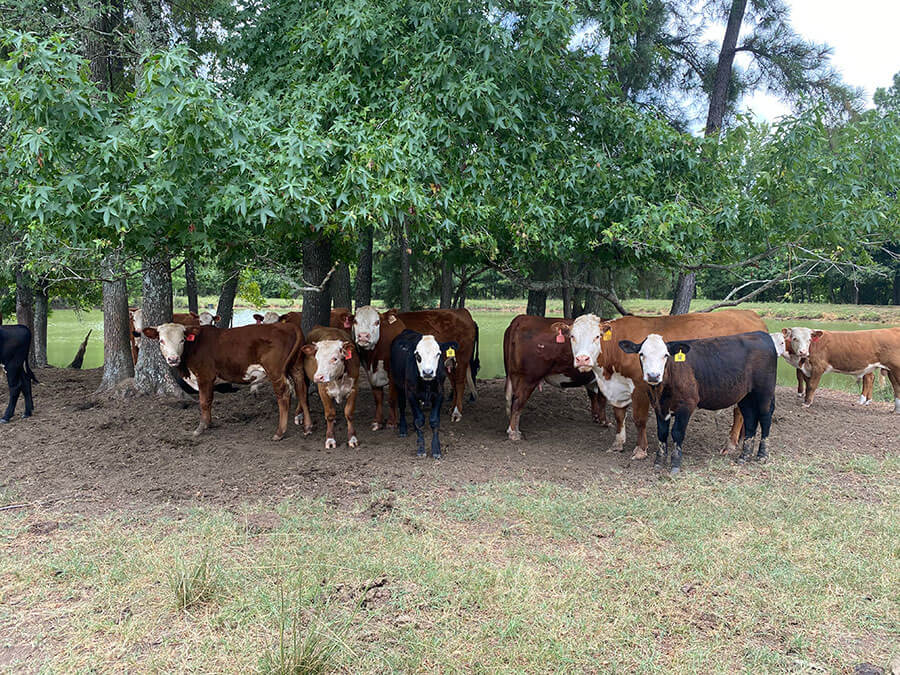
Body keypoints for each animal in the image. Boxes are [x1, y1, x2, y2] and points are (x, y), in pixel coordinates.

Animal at [142, 322, 306, 440]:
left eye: (182, 340)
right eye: (161, 341)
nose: (173, 359)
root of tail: (288, 325)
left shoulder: (205, 376)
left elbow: (204, 402)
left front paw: (200, 428)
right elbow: (209, 401)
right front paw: (209, 423)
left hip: (275, 371)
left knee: (284, 395)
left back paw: (280, 432)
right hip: (295, 367)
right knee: (300, 386)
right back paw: (304, 423)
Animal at [390, 329, 458, 459]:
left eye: (438, 354)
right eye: (417, 355)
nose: (428, 372)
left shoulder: (440, 393)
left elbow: (434, 420)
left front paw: (436, 449)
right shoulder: (411, 393)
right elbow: (419, 420)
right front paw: (421, 449)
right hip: (399, 385)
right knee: (402, 406)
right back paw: (403, 429)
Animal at [557, 310, 767, 459]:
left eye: (597, 337)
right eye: (572, 337)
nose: (582, 359)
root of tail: (751, 315)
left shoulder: (641, 387)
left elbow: (639, 419)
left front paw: (640, 450)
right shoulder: (617, 389)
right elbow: (619, 416)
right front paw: (618, 444)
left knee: (739, 412)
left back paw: (730, 445)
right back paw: (741, 439)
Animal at [619, 331, 777, 473]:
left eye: (665, 355)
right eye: (641, 354)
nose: (653, 375)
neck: (661, 391)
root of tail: (761, 334)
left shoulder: (687, 405)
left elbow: (677, 433)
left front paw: (675, 464)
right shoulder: (659, 406)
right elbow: (662, 433)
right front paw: (658, 462)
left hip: (765, 391)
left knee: (765, 418)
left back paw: (762, 455)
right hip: (745, 396)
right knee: (750, 420)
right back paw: (744, 456)